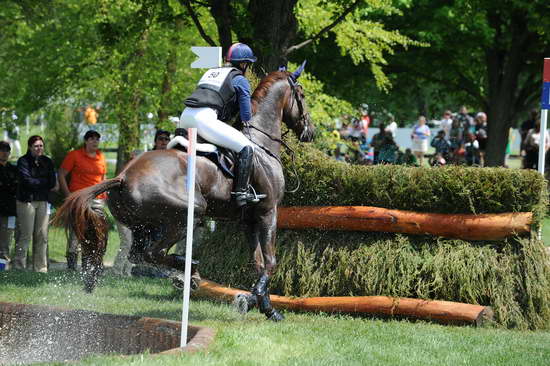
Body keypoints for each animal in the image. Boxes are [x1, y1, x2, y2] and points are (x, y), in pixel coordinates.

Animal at [56, 65, 316, 320]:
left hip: (142, 225)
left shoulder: (249, 220)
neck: (261, 141)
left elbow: (258, 263)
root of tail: (122, 177)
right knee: (154, 252)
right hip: (186, 215)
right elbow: (270, 262)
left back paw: (186, 272)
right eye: (302, 95)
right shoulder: (268, 212)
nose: (310, 132)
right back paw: (191, 271)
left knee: (138, 255)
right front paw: (254, 302)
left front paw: (265, 307)